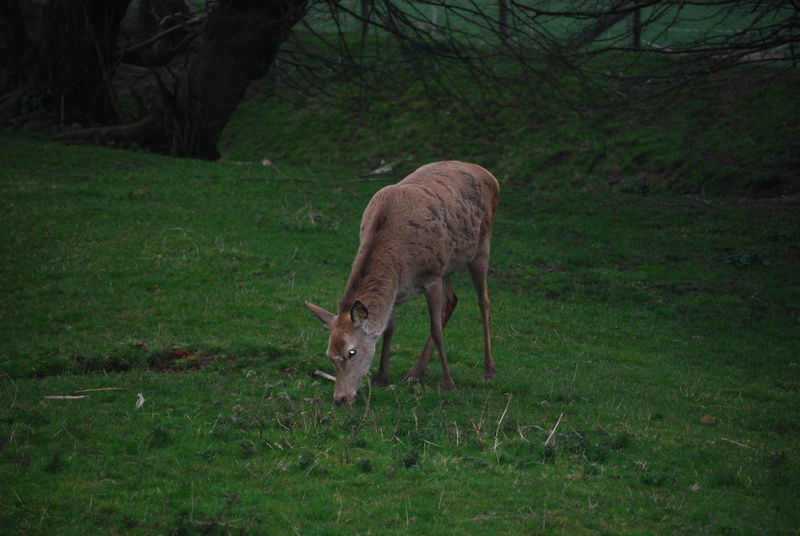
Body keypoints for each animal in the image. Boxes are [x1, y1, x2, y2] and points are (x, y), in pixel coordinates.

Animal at [305, 161, 499, 405]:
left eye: (352, 352)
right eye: (329, 354)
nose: (340, 398)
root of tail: (490, 175)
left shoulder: (431, 276)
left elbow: (436, 329)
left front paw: (449, 384)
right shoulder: (397, 292)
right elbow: (389, 329)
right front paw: (382, 378)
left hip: (481, 246)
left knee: (484, 300)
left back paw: (488, 370)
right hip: (447, 265)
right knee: (452, 299)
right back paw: (416, 372)